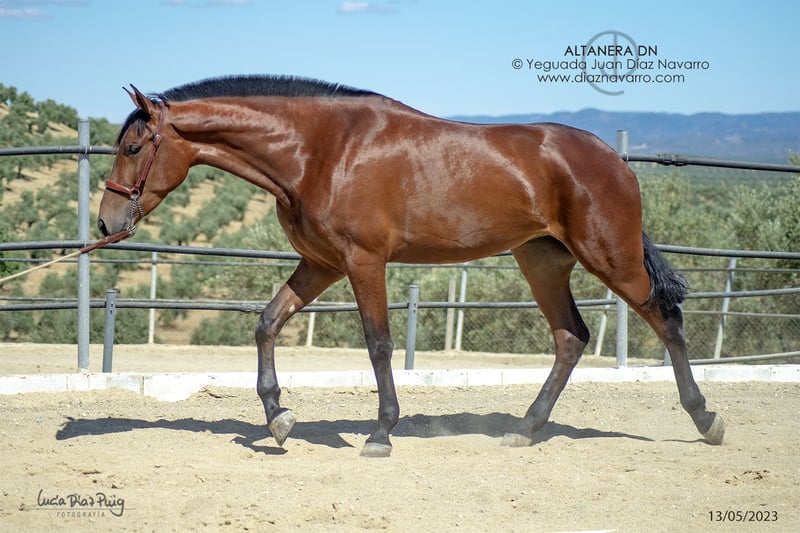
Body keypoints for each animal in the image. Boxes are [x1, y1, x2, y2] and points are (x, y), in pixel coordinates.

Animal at [98, 75, 724, 457]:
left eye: (134, 148)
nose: (106, 224)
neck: (320, 151)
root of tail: (614, 160)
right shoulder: (320, 263)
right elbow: (268, 323)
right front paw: (279, 418)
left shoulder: (363, 262)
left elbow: (378, 343)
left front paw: (380, 432)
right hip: (542, 261)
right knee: (570, 337)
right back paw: (524, 430)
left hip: (610, 258)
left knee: (666, 321)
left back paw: (705, 420)